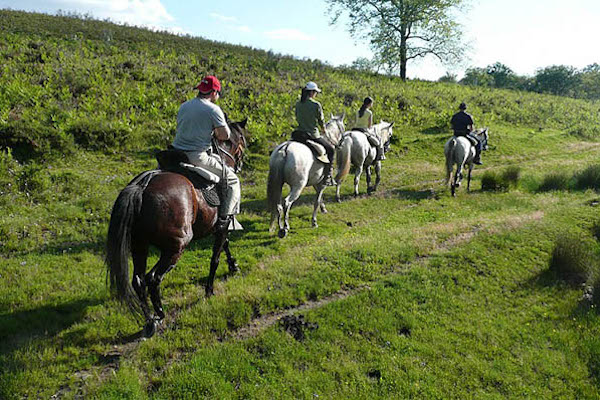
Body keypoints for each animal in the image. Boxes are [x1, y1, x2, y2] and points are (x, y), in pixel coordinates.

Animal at [106, 118, 247, 334]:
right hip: (175, 246)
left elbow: (225, 246)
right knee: (153, 278)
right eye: (242, 141)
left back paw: (150, 321)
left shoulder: (219, 226)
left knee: (138, 280)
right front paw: (209, 290)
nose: (240, 164)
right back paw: (160, 313)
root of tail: (142, 187)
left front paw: (233, 266)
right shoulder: (223, 224)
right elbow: (215, 257)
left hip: (140, 244)